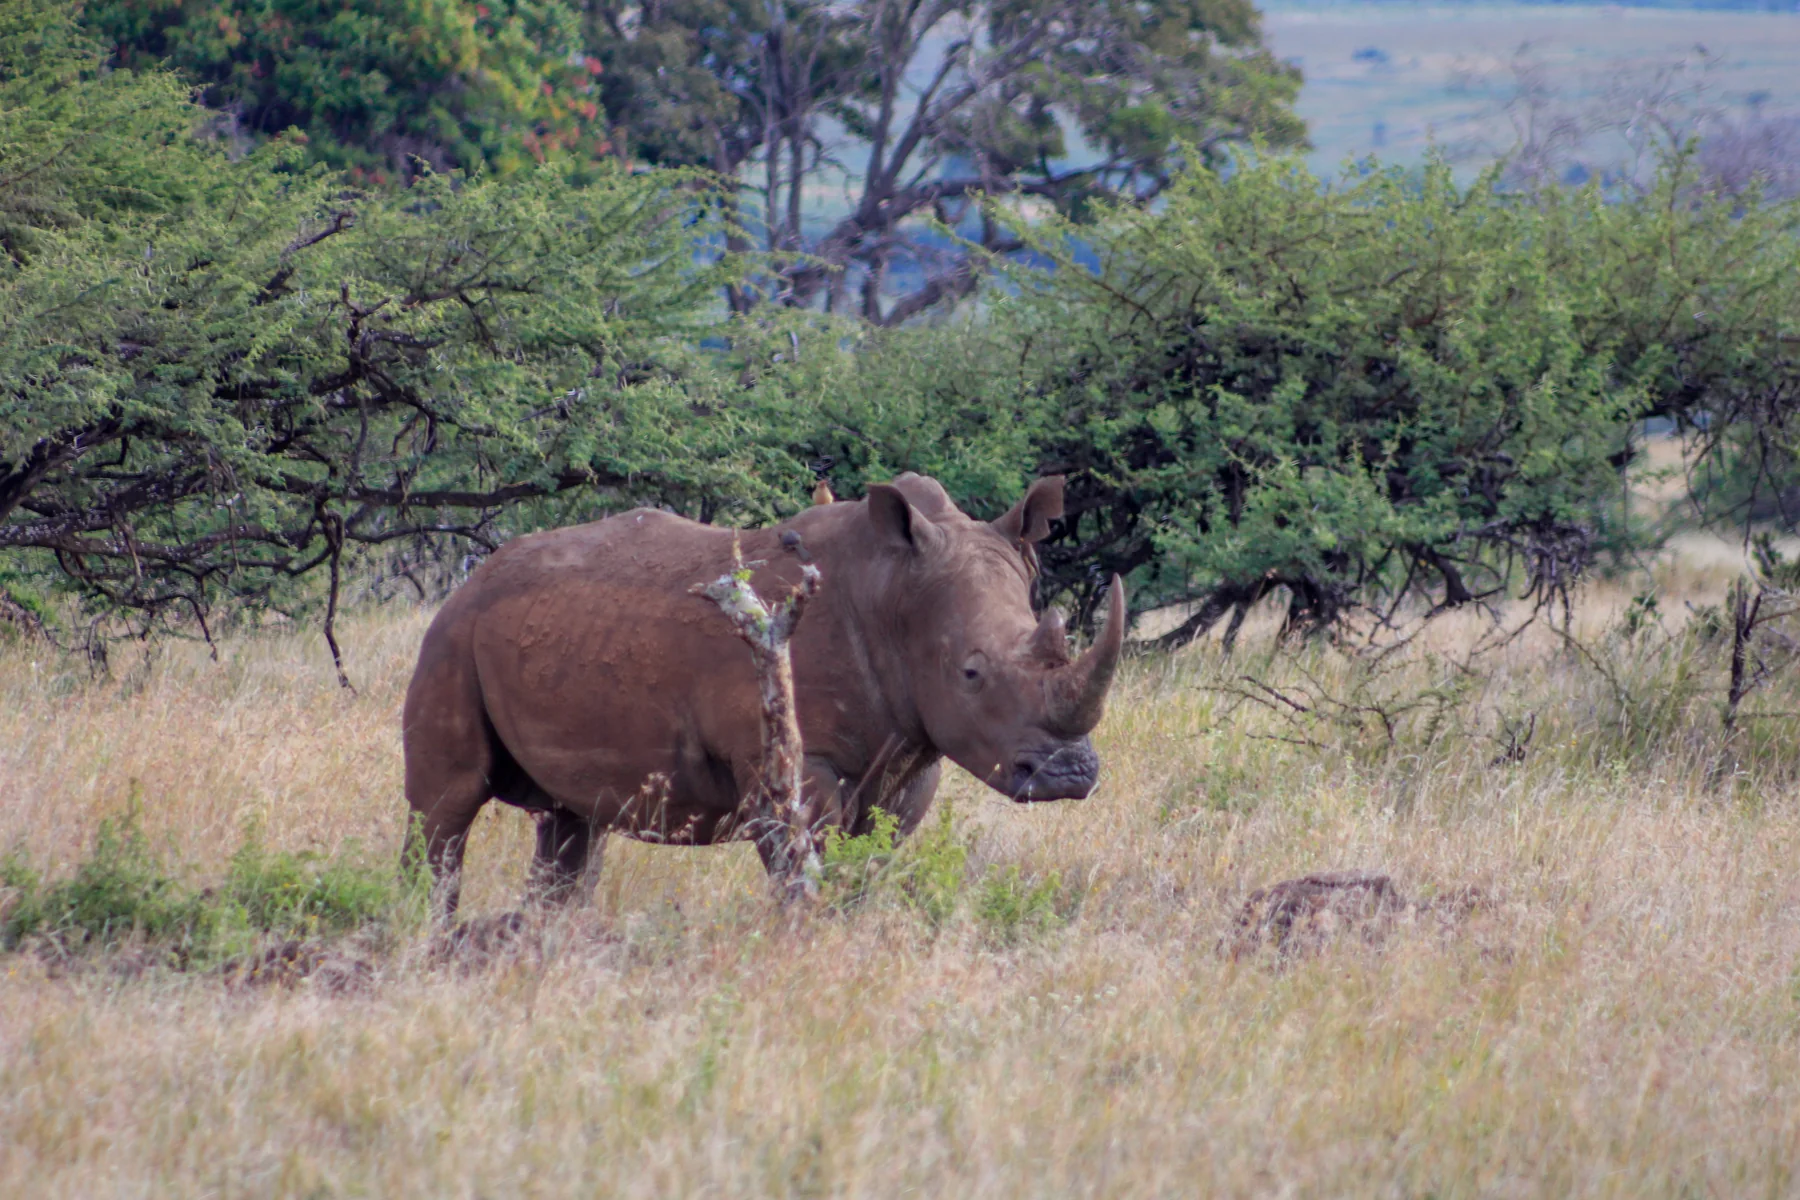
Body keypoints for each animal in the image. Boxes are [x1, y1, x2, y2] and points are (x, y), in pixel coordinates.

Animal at [401, 472, 1125, 909]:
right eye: (971, 674)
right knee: (445, 806)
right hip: (451, 635)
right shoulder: (790, 765)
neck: (891, 593)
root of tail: (476, 576)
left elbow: (869, 866)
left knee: (571, 825)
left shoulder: (912, 753)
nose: (1069, 774)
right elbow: (801, 868)